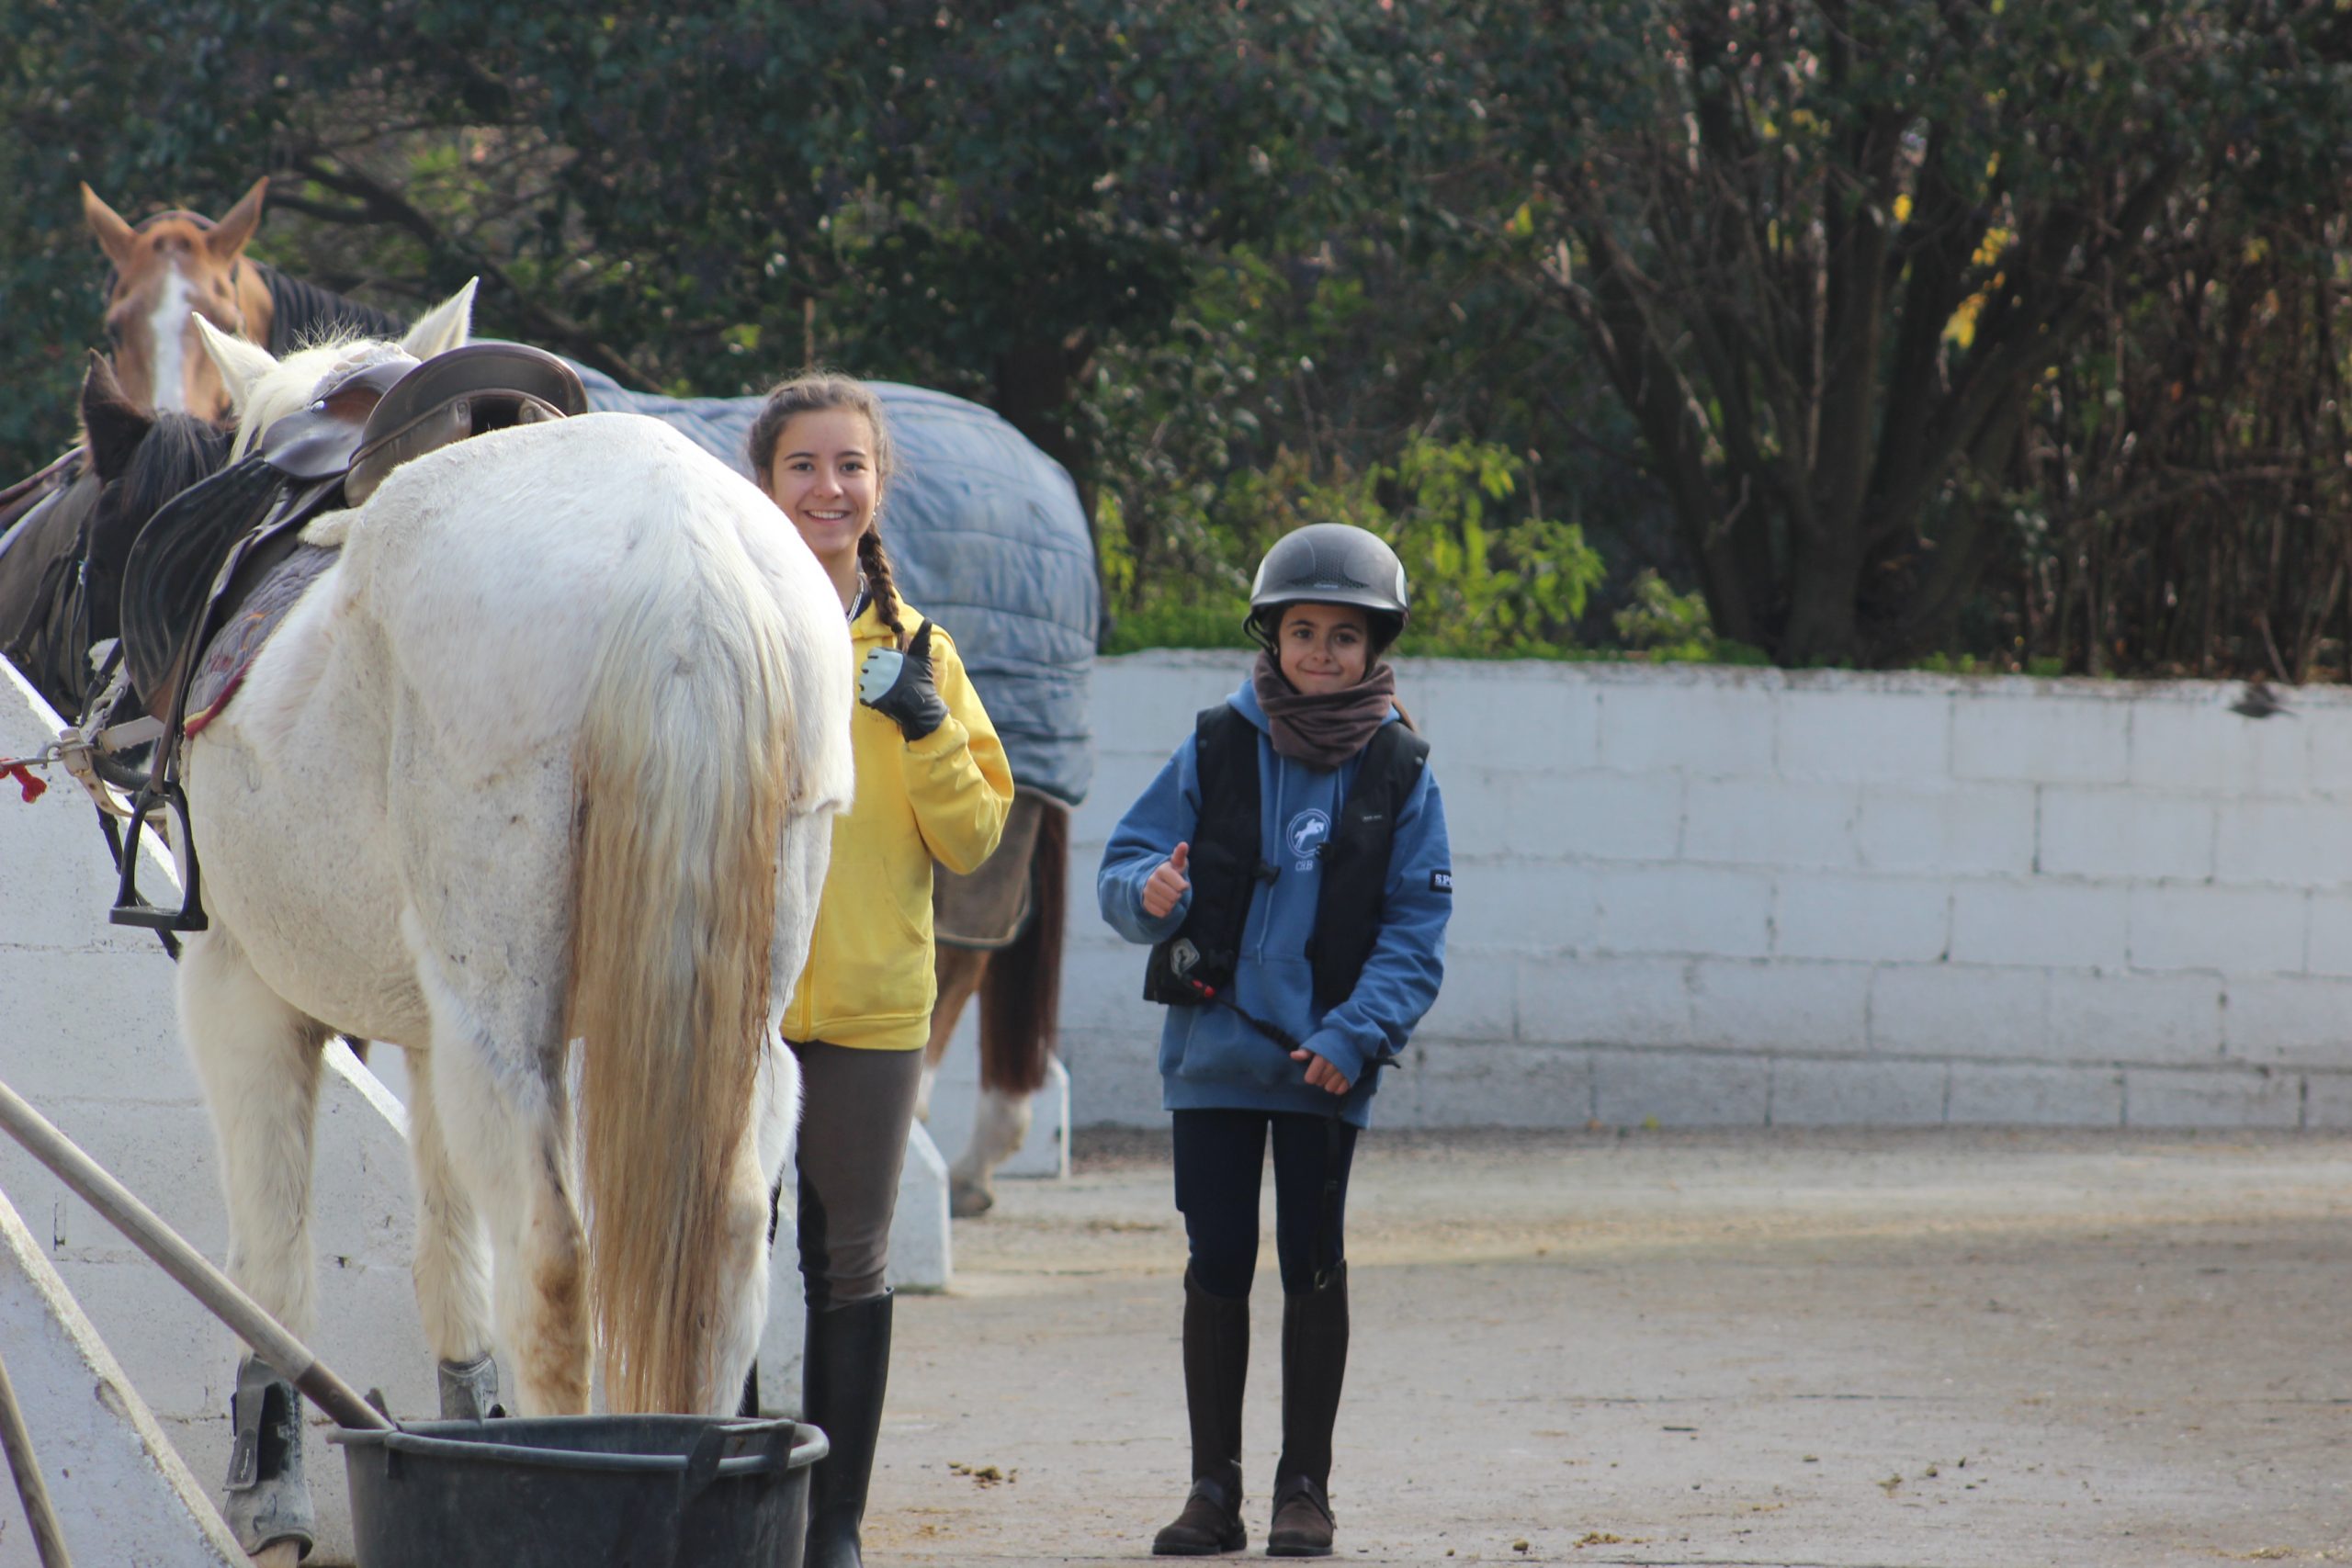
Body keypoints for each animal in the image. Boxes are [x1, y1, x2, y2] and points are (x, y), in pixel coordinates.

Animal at [71, 290, 852, 1559]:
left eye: (92, 537)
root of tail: (681, 567)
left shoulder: (242, 994)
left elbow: (274, 1269)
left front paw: (270, 1487)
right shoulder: (430, 1040)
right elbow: (445, 1252)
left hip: (500, 1025)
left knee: (549, 1252)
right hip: (726, 1026)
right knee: (728, 1228)